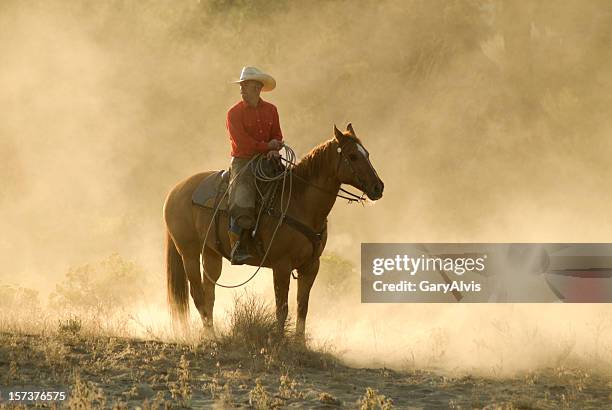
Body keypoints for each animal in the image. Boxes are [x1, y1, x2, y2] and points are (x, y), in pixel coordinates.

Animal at [163, 123, 382, 338]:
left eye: (367, 154)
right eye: (352, 156)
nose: (378, 187)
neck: (300, 203)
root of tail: (175, 190)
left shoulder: (311, 265)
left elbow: (302, 307)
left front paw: (299, 343)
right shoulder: (281, 265)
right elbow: (282, 308)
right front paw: (279, 341)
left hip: (211, 253)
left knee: (209, 294)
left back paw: (213, 334)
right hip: (189, 252)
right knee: (198, 294)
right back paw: (210, 338)